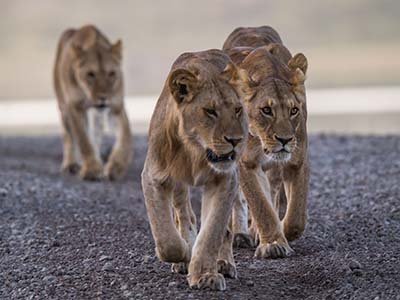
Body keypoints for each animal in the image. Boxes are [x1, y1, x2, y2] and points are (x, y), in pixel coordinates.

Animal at [52, 24, 131, 180]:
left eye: (111, 73)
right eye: (90, 74)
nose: (103, 97)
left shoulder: (116, 107)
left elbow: (125, 136)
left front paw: (116, 167)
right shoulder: (75, 107)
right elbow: (83, 141)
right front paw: (92, 169)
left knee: (96, 134)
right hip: (63, 108)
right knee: (68, 136)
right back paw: (71, 165)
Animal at [142, 49, 252, 290]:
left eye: (238, 110)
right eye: (210, 111)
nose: (235, 140)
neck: (195, 152)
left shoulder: (225, 180)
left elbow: (212, 231)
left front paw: (205, 275)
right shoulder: (153, 177)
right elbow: (166, 237)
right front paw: (184, 254)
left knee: (225, 230)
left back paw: (224, 263)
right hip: (179, 186)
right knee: (184, 216)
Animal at [223, 26, 310, 258]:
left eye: (294, 110)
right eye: (266, 110)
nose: (285, 139)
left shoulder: (297, 160)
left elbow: (296, 215)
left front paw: (283, 232)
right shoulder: (246, 163)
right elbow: (260, 204)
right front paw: (272, 244)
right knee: (240, 200)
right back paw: (241, 235)